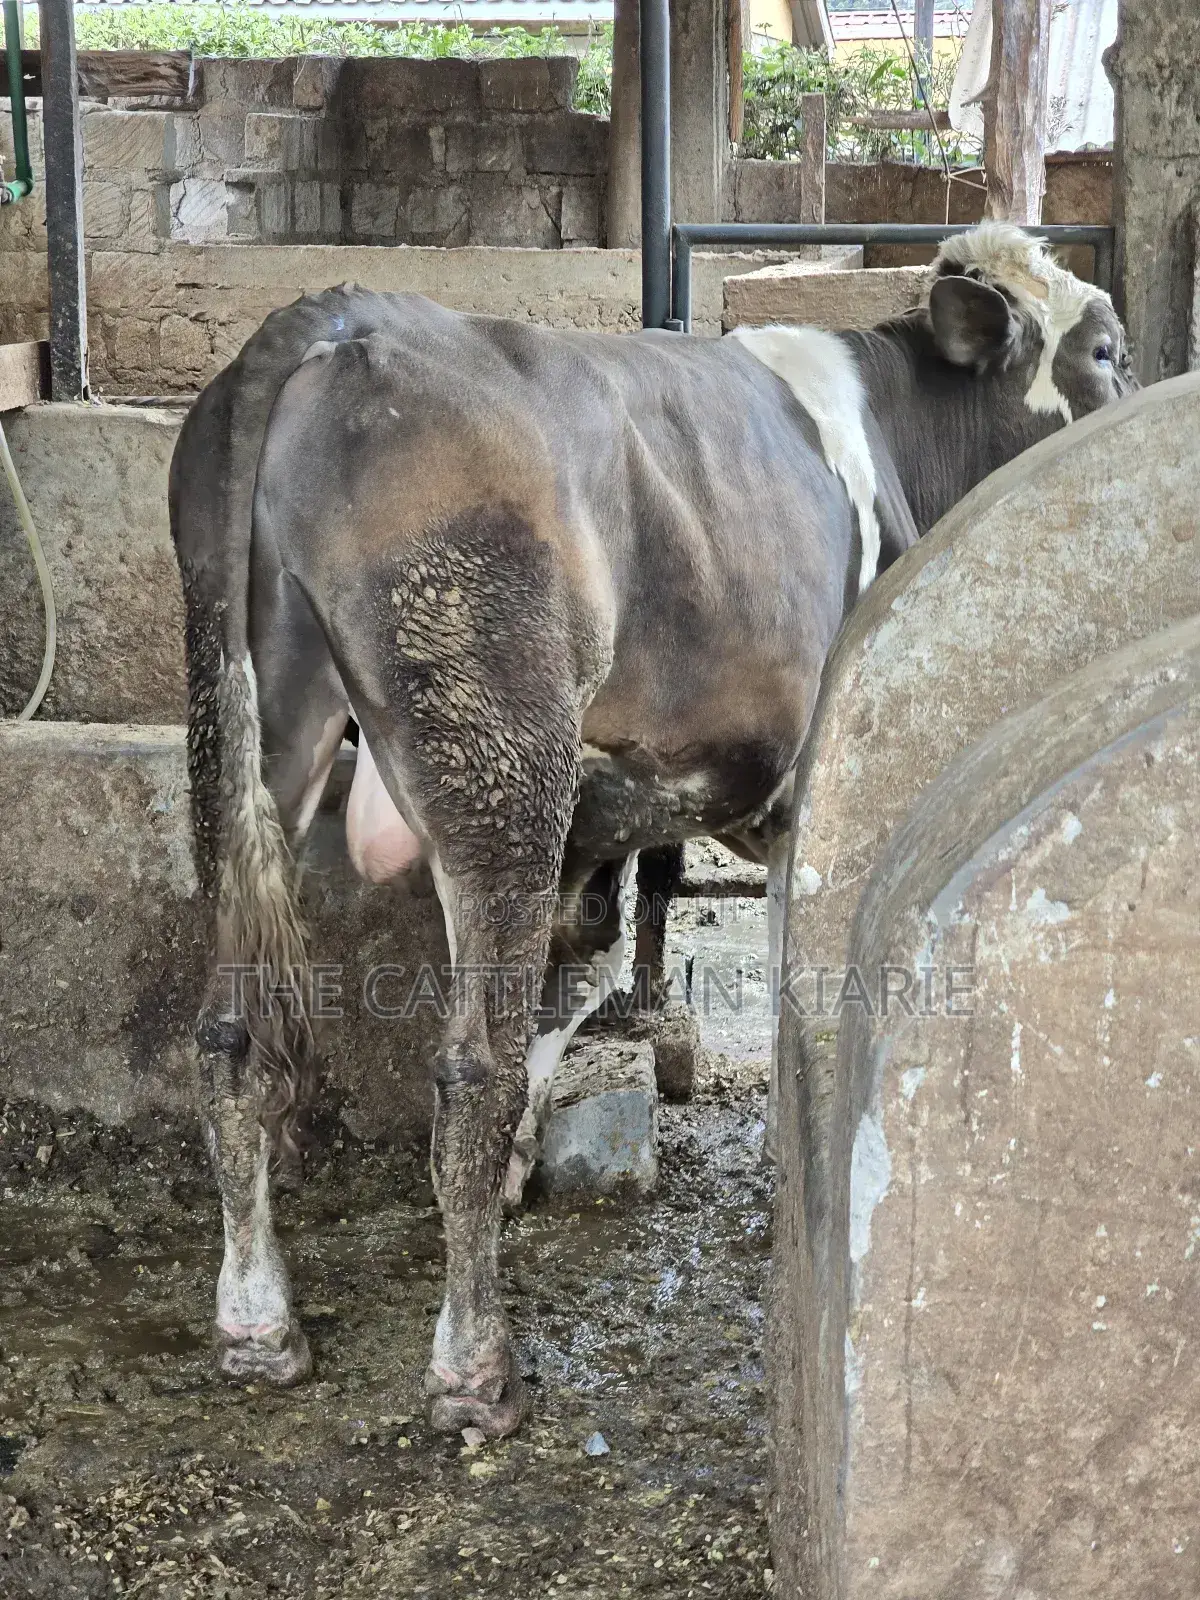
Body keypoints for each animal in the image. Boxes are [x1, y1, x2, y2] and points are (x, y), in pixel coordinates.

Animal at [170, 223, 1134, 1440]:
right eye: (1105, 350)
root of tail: (343, 316)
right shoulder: (789, 793)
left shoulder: (608, 817)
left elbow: (575, 980)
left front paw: (528, 1166)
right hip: (498, 758)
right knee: (466, 1068)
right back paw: (475, 1371)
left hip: (249, 732)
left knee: (228, 1035)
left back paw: (257, 1324)